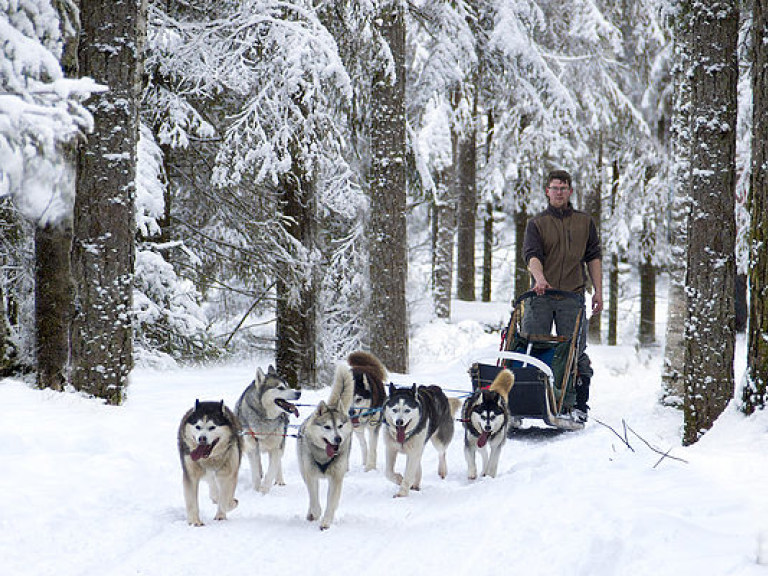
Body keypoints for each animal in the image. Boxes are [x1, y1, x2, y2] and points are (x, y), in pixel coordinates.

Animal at [178, 400, 243, 528]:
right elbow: (192, 500)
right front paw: (195, 521)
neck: (209, 459)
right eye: (197, 427)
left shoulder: (229, 473)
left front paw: (222, 514)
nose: (202, 438)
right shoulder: (191, 474)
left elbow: (226, 499)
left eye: (212, 427)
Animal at [296, 362, 356, 528]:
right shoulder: (310, 475)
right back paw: (310, 513)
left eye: (340, 426)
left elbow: (331, 502)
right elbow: (314, 499)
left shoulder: (336, 477)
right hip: (303, 470)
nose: (338, 439)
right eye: (327, 427)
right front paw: (316, 514)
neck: (324, 456)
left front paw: (326, 521)